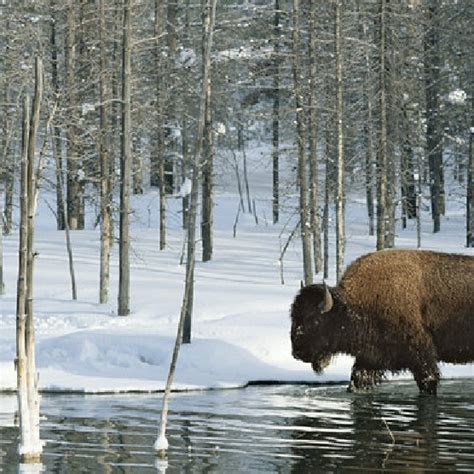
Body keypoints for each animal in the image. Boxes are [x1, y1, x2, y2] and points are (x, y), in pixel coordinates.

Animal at [288, 250, 474, 394]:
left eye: (314, 320)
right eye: (293, 316)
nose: (297, 352)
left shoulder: (421, 358)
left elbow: (428, 381)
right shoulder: (370, 357)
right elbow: (356, 380)